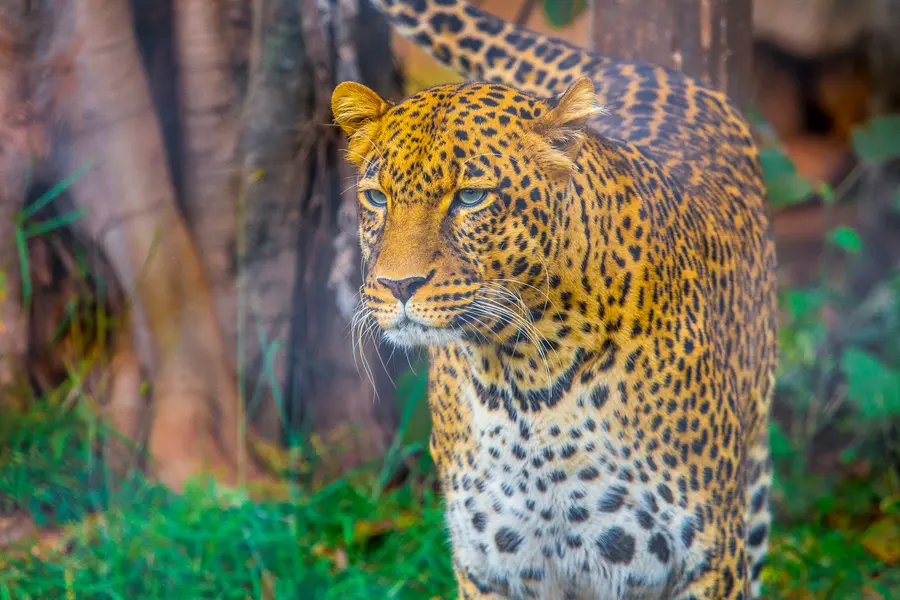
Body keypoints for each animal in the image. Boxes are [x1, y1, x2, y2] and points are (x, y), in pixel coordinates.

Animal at [331, 1, 778, 598]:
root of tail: (639, 67)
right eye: (378, 198)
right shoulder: (492, 566)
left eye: (471, 197)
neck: (523, 380)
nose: (397, 285)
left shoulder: (706, 558)